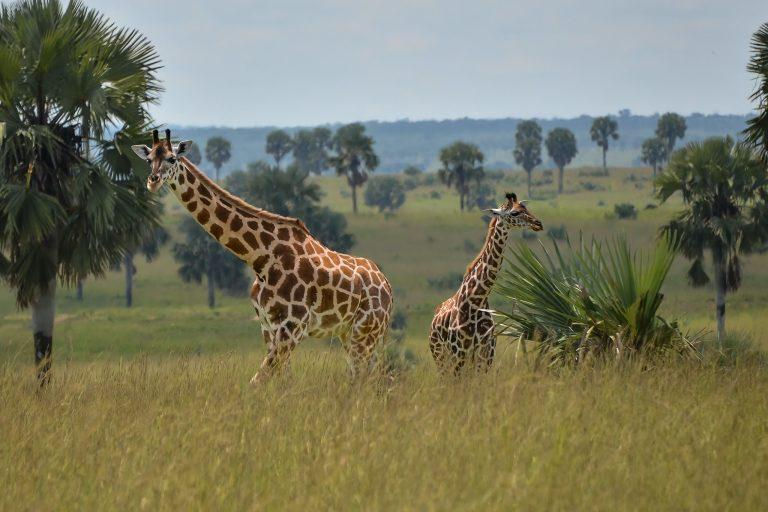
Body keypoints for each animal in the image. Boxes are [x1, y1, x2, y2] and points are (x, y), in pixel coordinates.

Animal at [133, 130, 393, 384]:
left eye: (171, 158)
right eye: (148, 160)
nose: (152, 181)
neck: (260, 259)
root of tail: (387, 286)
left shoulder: (292, 327)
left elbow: (258, 381)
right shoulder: (268, 326)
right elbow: (280, 382)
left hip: (365, 332)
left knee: (365, 378)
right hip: (350, 334)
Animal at [429, 192, 542, 375]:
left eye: (526, 208)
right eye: (514, 213)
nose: (538, 223)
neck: (478, 300)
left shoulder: (486, 353)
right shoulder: (459, 352)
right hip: (441, 357)